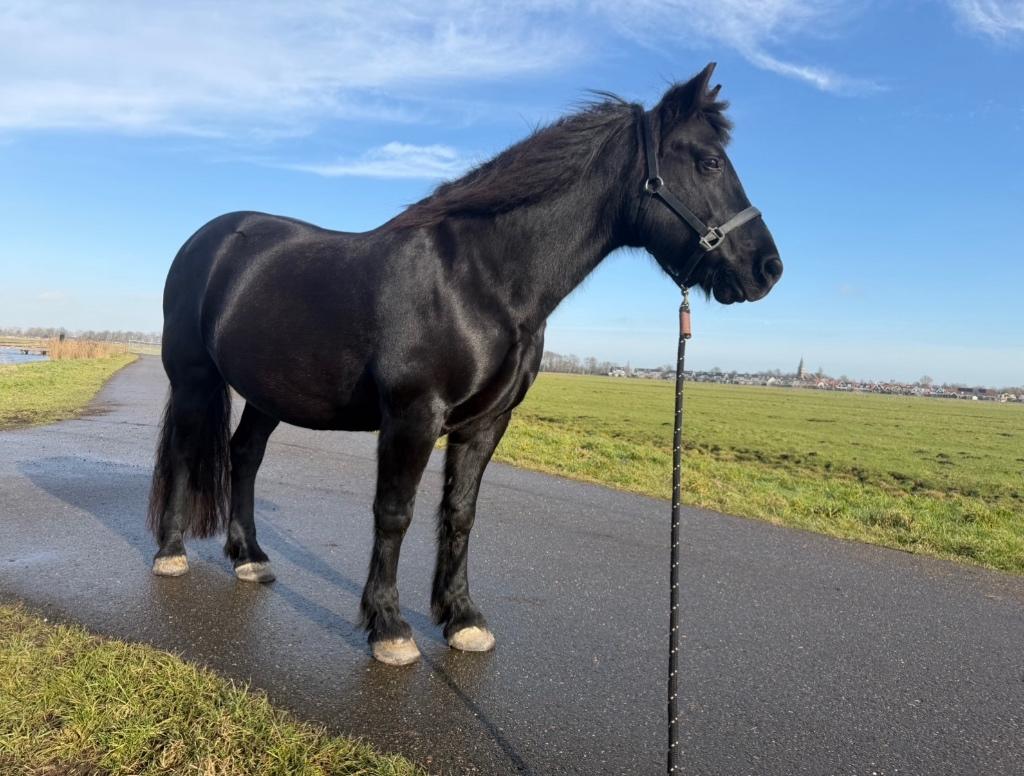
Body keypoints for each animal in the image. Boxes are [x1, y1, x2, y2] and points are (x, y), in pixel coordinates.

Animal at [148, 63, 782, 665]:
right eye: (709, 162)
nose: (768, 269)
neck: (481, 281)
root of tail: (211, 240)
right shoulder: (413, 417)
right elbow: (395, 512)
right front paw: (390, 627)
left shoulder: (486, 422)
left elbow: (459, 513)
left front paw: (462, 618)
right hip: (193, 378)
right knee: (185, 451)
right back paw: (172, 552)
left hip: (269, 392)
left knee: (244, 456)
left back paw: (250, 558)